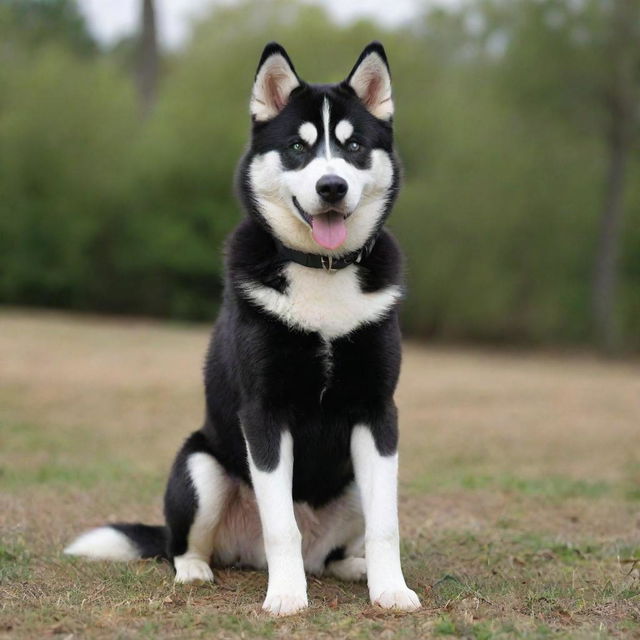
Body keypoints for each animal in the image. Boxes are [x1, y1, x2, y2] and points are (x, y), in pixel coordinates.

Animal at [62, 40, 418, 616]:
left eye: (354, 146)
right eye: (296, 147)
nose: (332, 185)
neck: (322, 268)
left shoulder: (377, 412)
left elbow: (387, 524)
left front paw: (391, 591)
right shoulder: (263, 413)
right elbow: (281, 526)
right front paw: (287, 597)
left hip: (348, 484)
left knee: (333, 552)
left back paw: (352, 567)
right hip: (201, 468)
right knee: (185, 543)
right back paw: (195, 570)